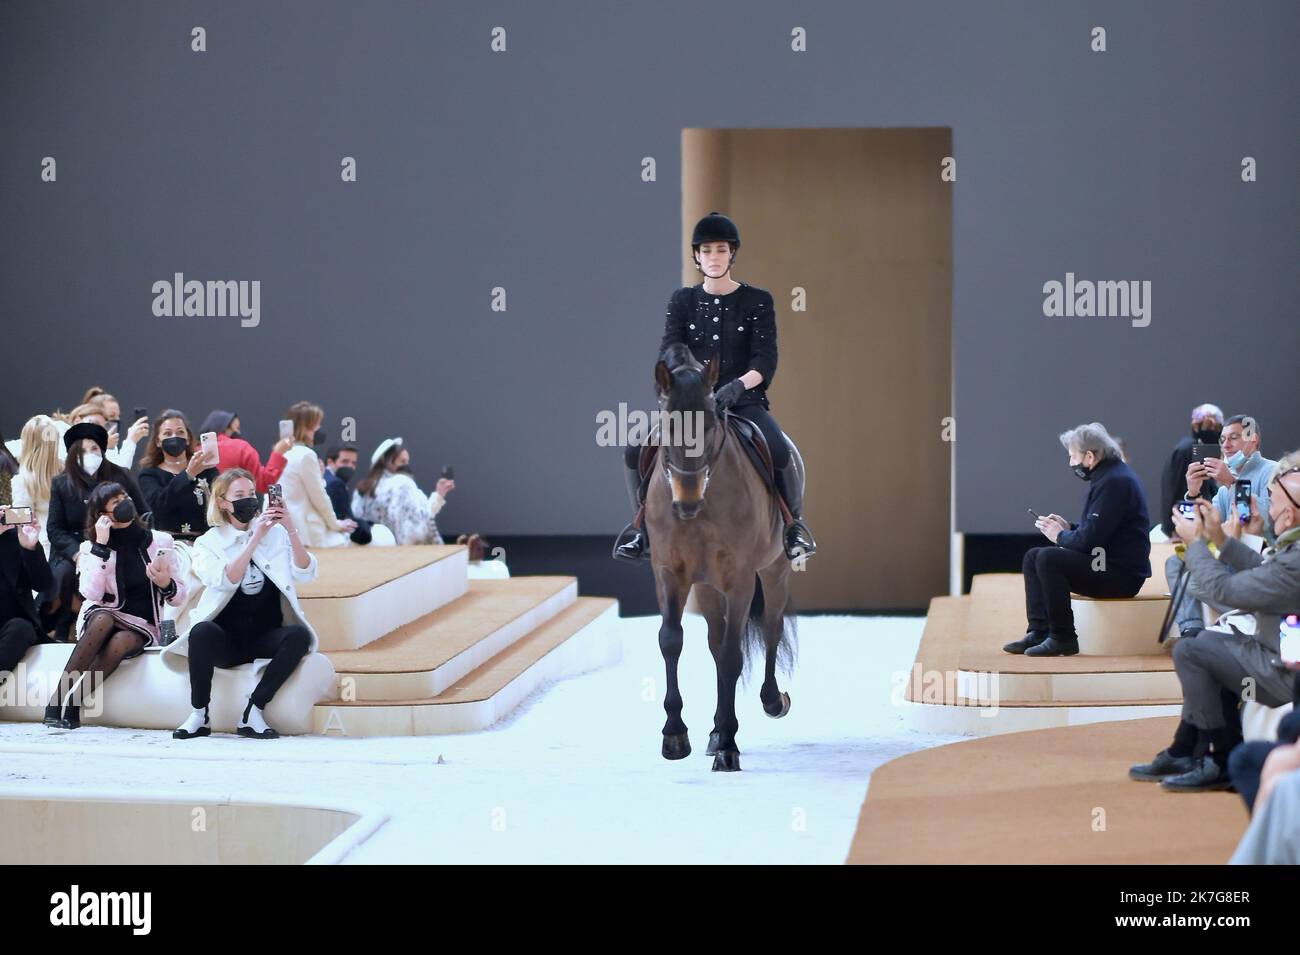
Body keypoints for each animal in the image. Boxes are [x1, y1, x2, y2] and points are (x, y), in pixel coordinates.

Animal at [647, 340, 795, 774]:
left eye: (711, 426)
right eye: (667, 427)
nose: (686, 503)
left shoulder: (740, 578)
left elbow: (732, 656)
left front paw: (729, 746)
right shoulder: (669, 573)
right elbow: (671, 641)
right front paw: (675, 737)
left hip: (774, 570)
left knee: (772, 628)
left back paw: (772, 701)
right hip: (707, 587)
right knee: (714, 641)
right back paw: (712, 733)